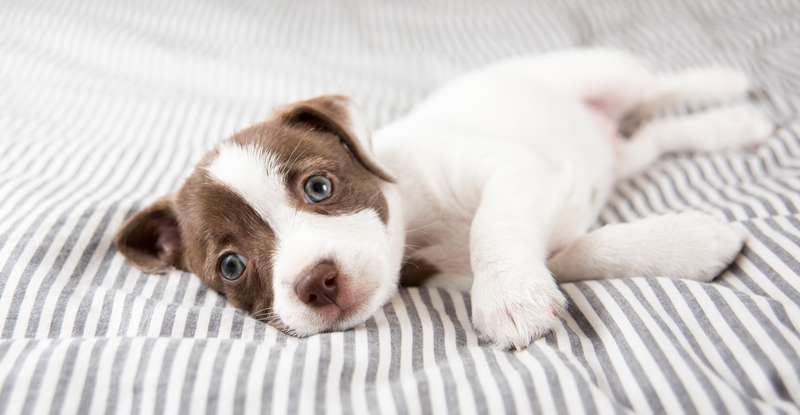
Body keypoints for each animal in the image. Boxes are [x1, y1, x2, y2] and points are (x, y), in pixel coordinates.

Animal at [115, 48, 772, 348]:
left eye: (319, 187)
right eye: (231, 266)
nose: (316, 282)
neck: (419, 227)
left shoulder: (513, 171)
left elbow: (493, 229)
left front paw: (508, 299)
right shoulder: (545, 241)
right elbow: (589, 252)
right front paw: (693, 243)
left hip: (601, 70)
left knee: (659, 89)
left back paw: (722, 84)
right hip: (622, 155)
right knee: (657, 136)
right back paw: (730, 125)